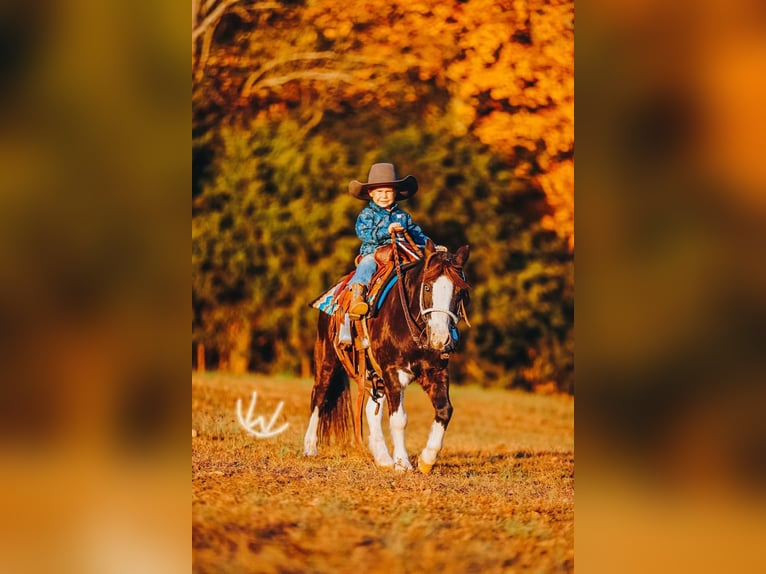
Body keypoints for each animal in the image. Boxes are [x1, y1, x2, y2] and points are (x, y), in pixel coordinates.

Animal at [303, 238, 470, 473]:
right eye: (427, 287)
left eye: (459, 292)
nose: (441, 338)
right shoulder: (393, 371)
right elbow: (399, 418)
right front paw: (403, 463)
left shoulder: (435, 372)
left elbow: (445, 410)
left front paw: (426, 460)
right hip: (327, 358)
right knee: (319, 395)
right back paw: (310, 447)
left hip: (376, 374)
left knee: (371, 409)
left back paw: (383, 458)